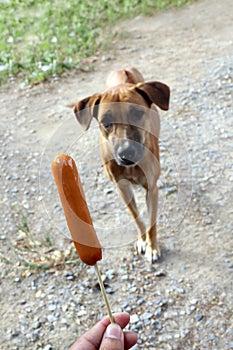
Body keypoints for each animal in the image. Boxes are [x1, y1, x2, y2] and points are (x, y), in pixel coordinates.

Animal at [71, 67, 169, 262]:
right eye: (106, 122)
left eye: (138, 113)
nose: (126, 153)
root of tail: (124, 70)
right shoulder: (122, 188)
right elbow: (137, 218)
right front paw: (142, 241)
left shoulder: (150, 189)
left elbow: (152, 222)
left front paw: (152, 247)